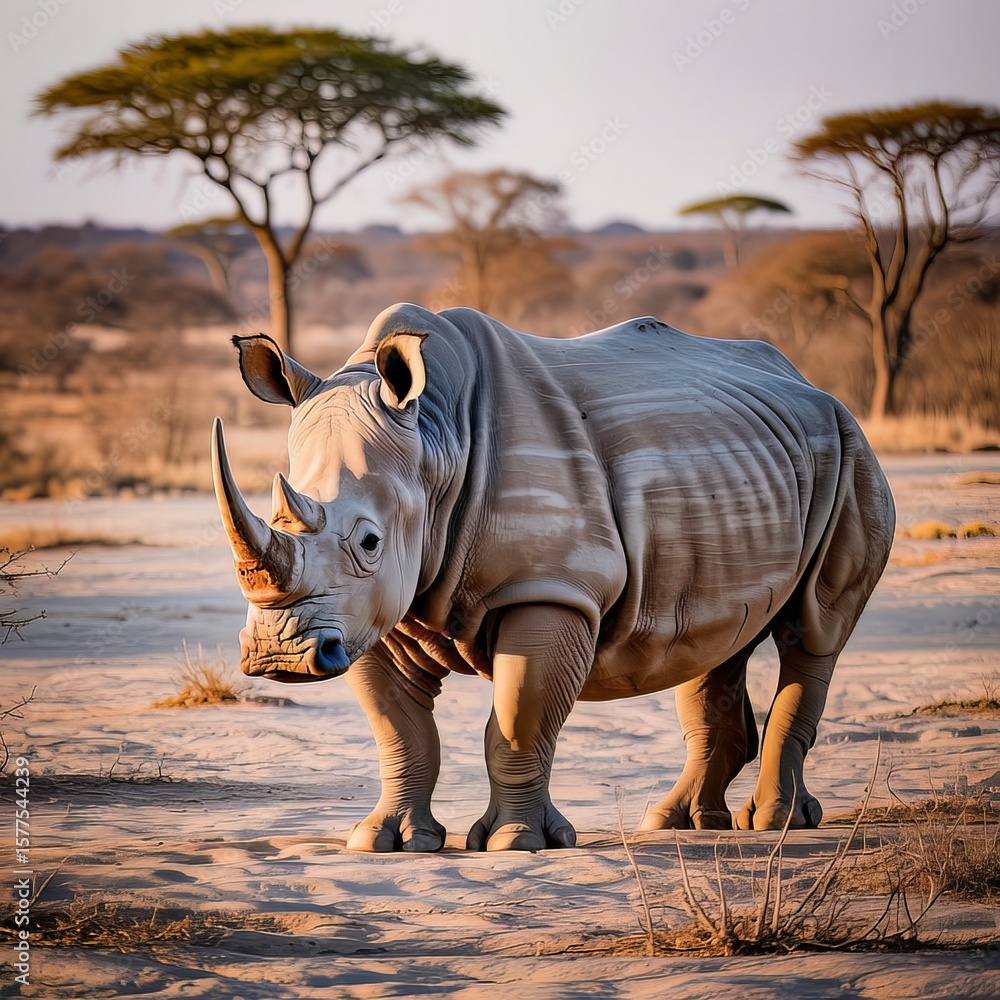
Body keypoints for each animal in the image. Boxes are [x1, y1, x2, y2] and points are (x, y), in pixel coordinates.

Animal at [212, 304, 894, 852]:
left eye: (368, 542)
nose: (278, 653)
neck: (435, 439)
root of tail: (811, 384)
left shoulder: (550, 589)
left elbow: (519, 718)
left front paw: (516, 843)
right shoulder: (372, 611)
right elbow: (399, 729)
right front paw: (387, 841)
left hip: (850, 450)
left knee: (814, 631)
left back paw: (775, 821)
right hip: (746, 467)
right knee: (714, 645)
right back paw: (677, 824)